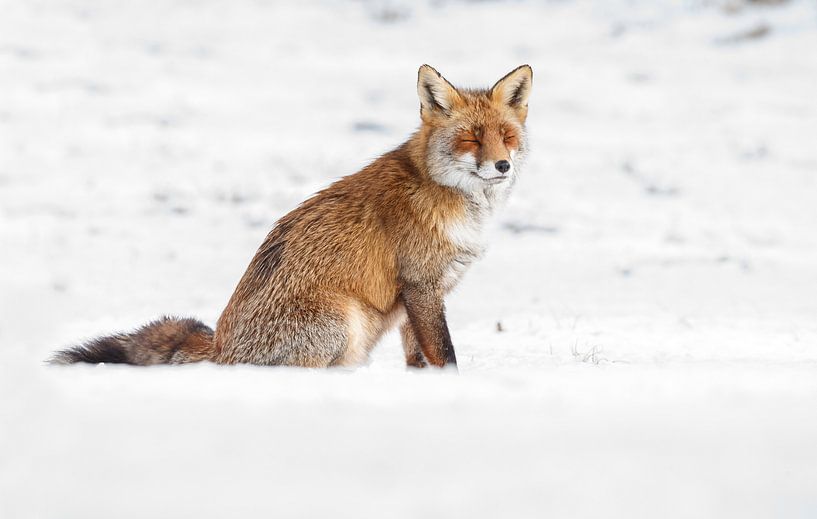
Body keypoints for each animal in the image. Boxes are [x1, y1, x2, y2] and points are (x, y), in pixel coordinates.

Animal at [52, 65, 536, 372]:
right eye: (471, 138)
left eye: (506, 136)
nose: (502, 166)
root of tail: (221, 349)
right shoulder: (420, 286)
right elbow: (445, 355)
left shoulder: (421, 296)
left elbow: (419, 359)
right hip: (343, 318)